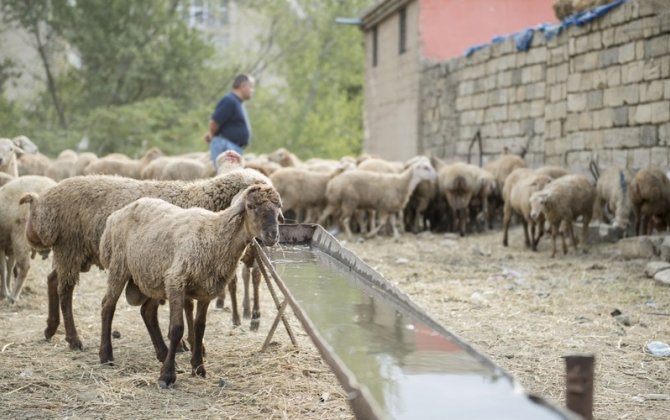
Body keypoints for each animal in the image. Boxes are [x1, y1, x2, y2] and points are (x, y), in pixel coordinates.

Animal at [21, 168, 272, 352]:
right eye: (253, 206)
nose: (269, 239)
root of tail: (44, 203)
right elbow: (184, 309)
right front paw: (187, 344)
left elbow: (187, 307)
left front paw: (189, 344)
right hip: (70, 247)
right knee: (65, 291)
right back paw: (73, 339)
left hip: (71, 252)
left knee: (52, 279)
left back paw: (51, 328)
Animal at [98, 185, 284, 388]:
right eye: (250, 206)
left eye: (278, 207)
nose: (272, 236)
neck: (215, 235)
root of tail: (115, 215)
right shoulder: (176, 282)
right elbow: (177, 329)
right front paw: (166, 376)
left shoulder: (206, 290)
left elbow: (200, 327)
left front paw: (198, 368)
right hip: (119, 266)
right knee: (108, 305)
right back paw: (106, 356)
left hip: (153, 276)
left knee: (147, 312)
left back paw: (163, 354)